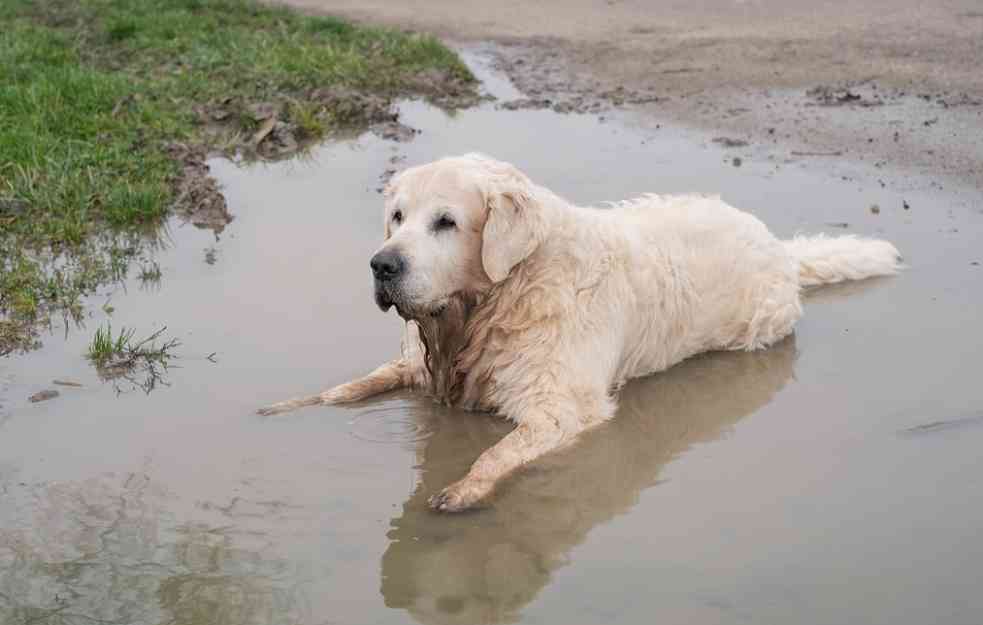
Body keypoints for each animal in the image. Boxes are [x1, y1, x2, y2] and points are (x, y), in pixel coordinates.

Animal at [258, 152, 904, 512]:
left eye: (446, 222)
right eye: (397, 217)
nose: (381, 265)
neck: (494, 301)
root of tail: (779, 246)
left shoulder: (560, 405)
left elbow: (499, 450)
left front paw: (463, 488)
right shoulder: (419, 363)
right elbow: (350, 387)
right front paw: (289, 407)